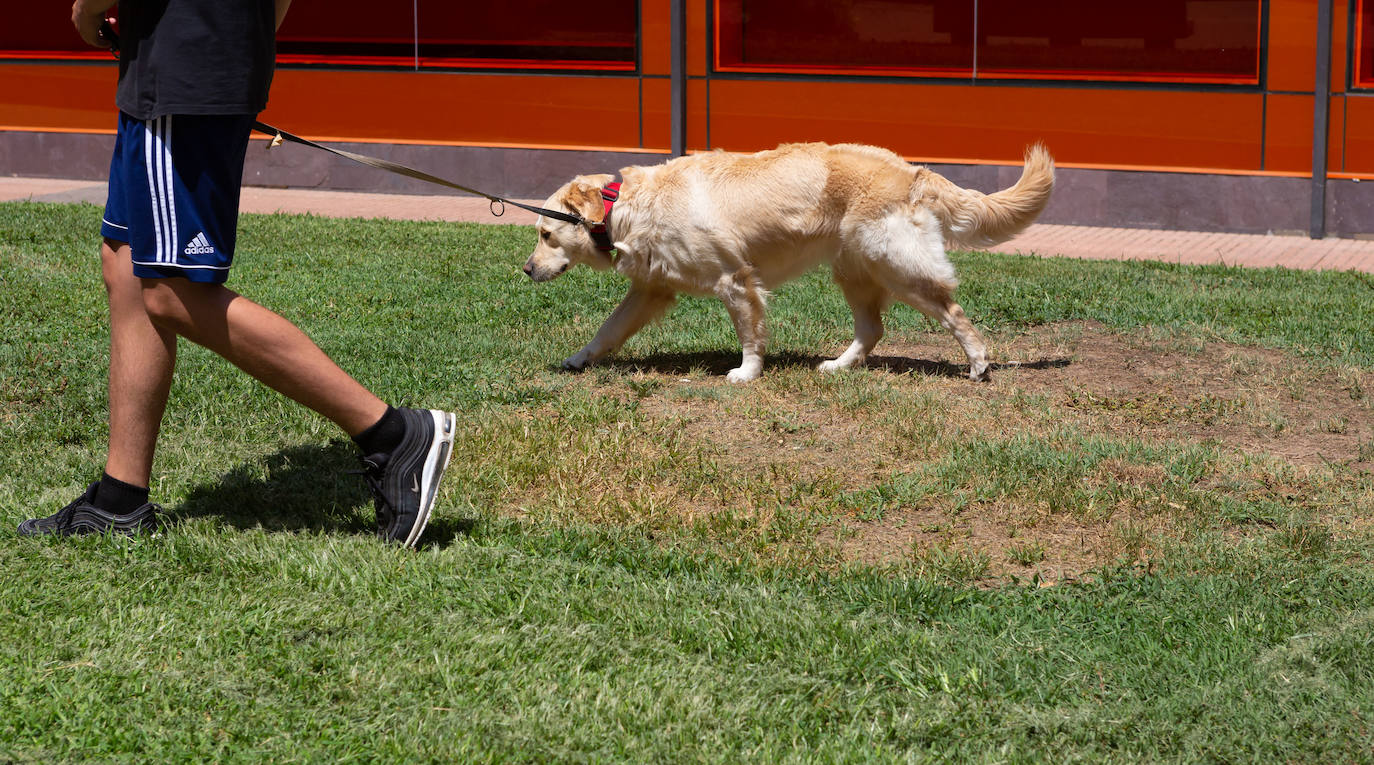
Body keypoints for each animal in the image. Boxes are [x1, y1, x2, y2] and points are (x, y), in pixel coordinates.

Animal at [522, 141, 1049, 379]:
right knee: (872, 329)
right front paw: (577, 359)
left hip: (898, 266)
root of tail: (911, 169)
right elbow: (607, 330)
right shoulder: (651, 288)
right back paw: (839, 365)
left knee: (952, 311)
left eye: (546, 233)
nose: (526, 269)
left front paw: (746, 373)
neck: (626, 204)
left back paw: (978, 362)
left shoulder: (735, 280)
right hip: (854, 271)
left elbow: (750, 335)